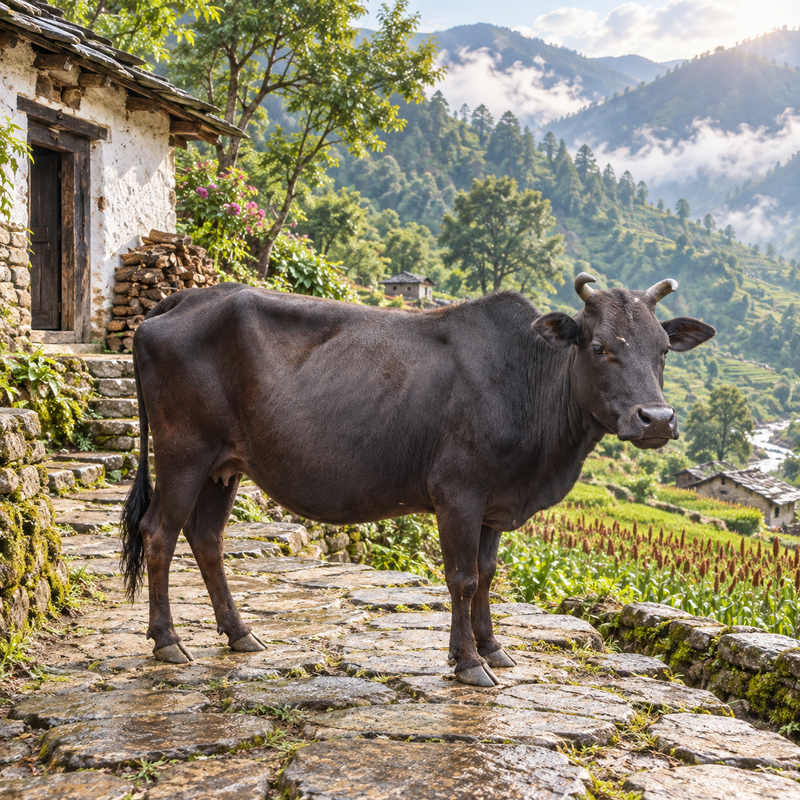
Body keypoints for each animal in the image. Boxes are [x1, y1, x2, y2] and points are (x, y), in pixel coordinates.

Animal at [120, 273, 715, 687]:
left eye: (663, 349)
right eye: (598, 346)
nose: (657, 419)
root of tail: (185, 299)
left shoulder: (495, 502)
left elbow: (488, 573)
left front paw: (492, 648)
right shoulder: (458, 494)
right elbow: (462, 578)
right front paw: (470, 663)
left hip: (224, 468)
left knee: (207, 538)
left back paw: (240, 633)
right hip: (183, 453)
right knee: (159, 533)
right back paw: (167, 641)